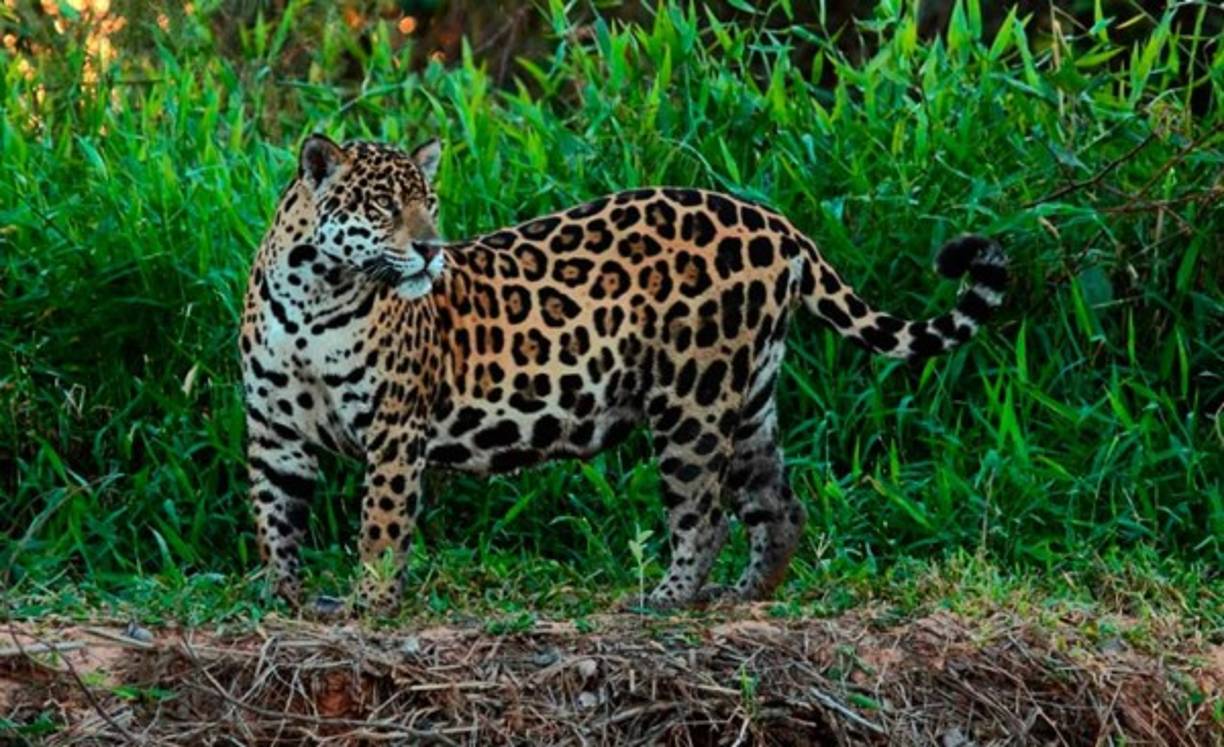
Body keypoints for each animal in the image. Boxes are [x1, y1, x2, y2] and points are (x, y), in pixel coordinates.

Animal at [239, 134, 1007, 613]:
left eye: (429, 200)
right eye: (380, 207)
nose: (431, 250)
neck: (317, 298)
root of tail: (774, 221)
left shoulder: (396, 429)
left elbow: (380, 523)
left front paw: (368, 605)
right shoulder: (274, 434)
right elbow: (274, 519)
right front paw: (284, 598)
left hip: (695, 399)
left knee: (703, 515)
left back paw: (665, 600)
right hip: (750, 395)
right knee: (778, 502)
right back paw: (747, 595)